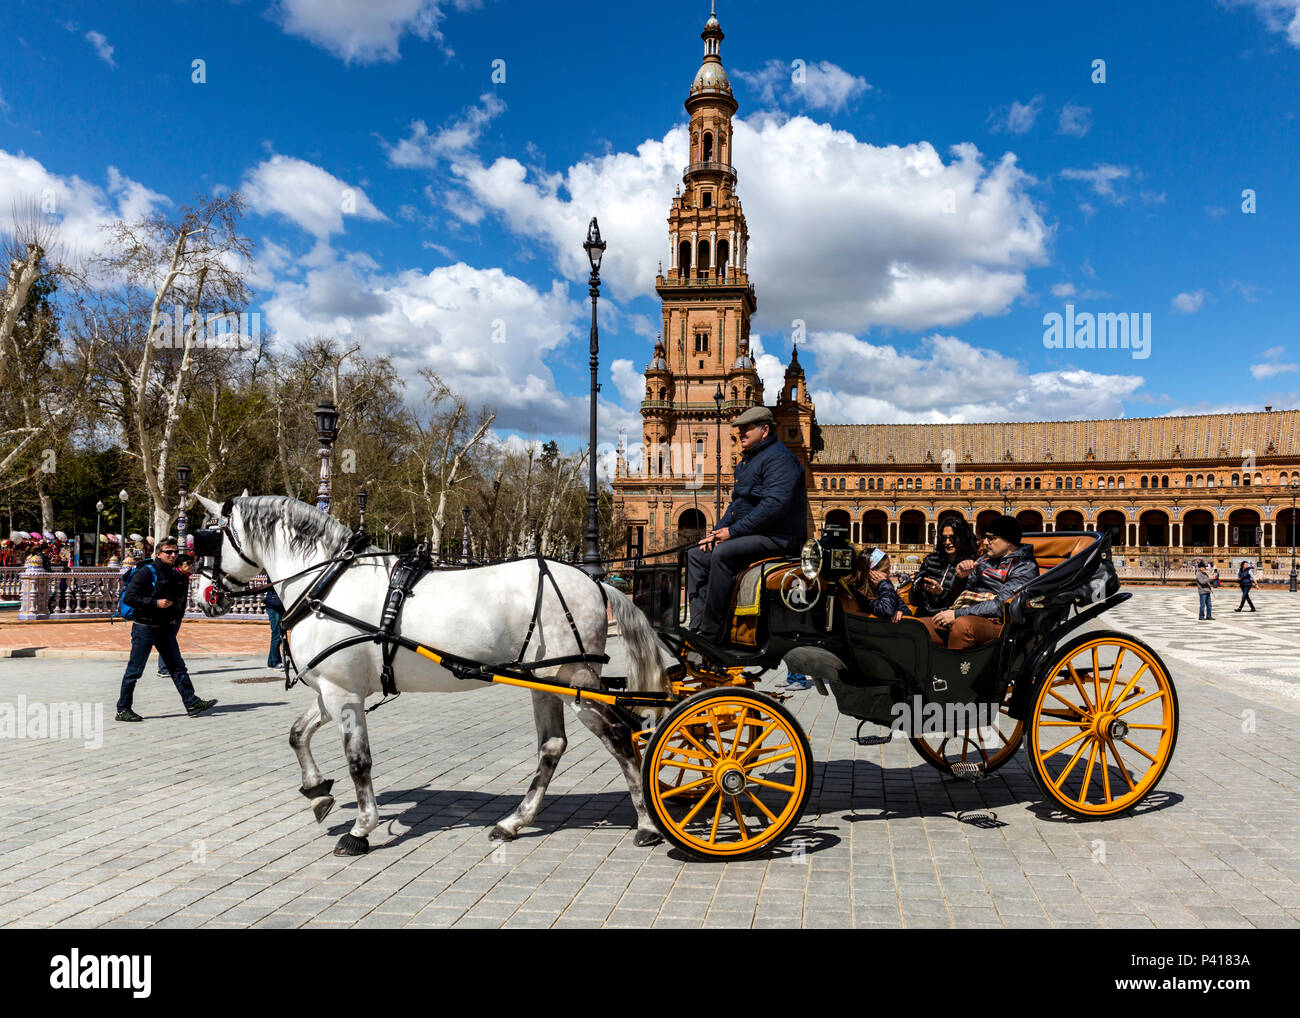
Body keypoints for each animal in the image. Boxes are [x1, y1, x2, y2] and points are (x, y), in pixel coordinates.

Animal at [191, 494, 669, 856]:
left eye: (207, 539)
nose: (204, 595)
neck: (327, 583)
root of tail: (595, 581)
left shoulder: (344, 694)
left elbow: (358, 761)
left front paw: (360, 829)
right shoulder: (331, 690)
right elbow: (296, 734)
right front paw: (318, 791)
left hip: (577, 682)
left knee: (619, 738)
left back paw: (647, 825)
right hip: (544, 681)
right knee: (553, 746)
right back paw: (515, 821)